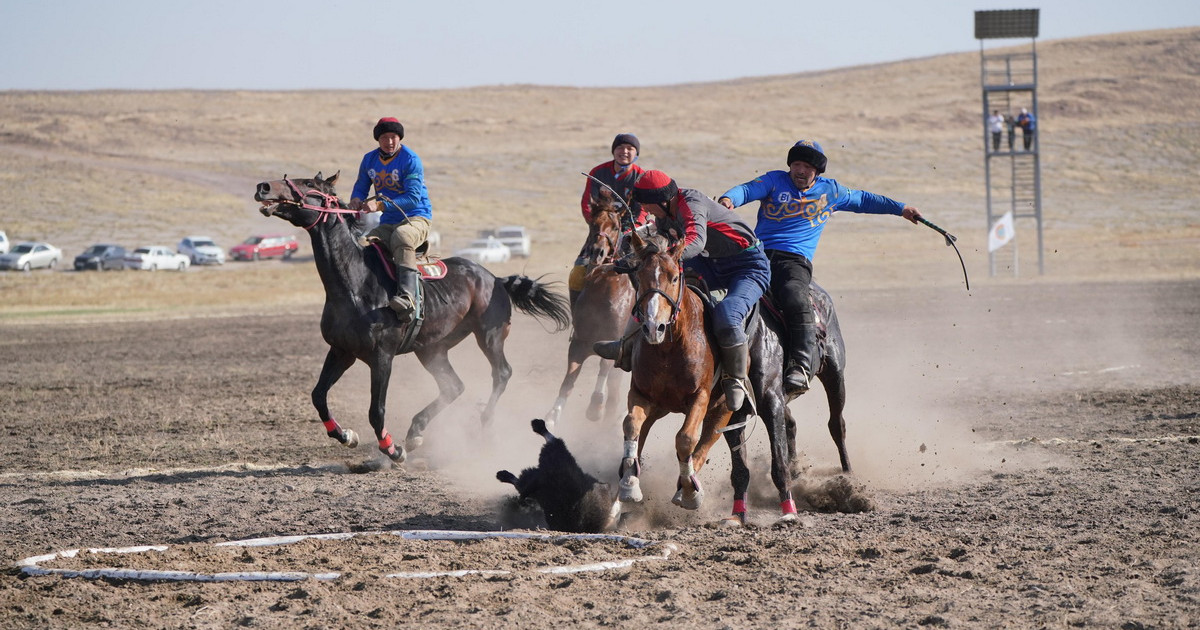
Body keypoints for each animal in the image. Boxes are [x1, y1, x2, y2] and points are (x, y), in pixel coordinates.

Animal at [250, 171, 568, 460]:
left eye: (307, 183)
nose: (263, 186)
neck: (355, 283)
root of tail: (495, 279)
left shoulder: (382, 357)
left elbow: (376, 410)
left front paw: (392, 448)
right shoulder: (341, 351)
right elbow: (318, 396)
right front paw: (347, 435)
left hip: (489, 336)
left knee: (501, 373)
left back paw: (482, 424)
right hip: (431, 349)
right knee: (453, 386)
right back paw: (416, 431)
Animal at [547, 196, 638, 422]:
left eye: (615, 227)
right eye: (593, 224)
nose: (598, 252)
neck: (604, 289)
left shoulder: (613, 341)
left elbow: (604, 369)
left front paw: (595, 406)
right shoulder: (579, 342)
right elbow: (568, 381)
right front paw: (553, 414)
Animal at [619, 229, 796, 520]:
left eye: (674, 277)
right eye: (639, 277)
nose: (653, 327)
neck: (669, 347)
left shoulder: (700, 397)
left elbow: (686, 439)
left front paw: (690, 493)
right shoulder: (641, 394)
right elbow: (632, 425)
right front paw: (629, 485)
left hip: (732, 406)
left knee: (705, 445)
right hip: (667, 408)